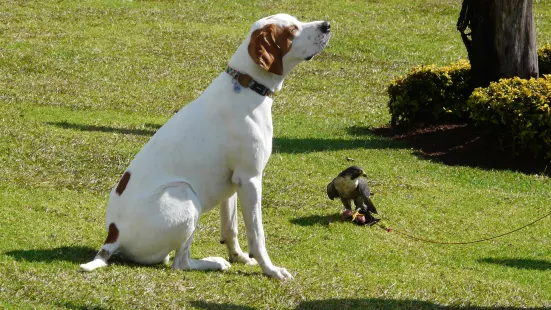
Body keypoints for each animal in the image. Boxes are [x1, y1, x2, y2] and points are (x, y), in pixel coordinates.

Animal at [81, 13, 332, 280]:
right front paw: (271, 270)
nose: (327, 25)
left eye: (296, 20)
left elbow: (230, 228)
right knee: (181, 262)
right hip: (185, 195)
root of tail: (112, 236)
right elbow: (257, 235)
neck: (246, 85)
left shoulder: (233, 183)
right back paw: (214, 262)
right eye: (292, 30)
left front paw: (240, 257)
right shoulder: (250, 179)